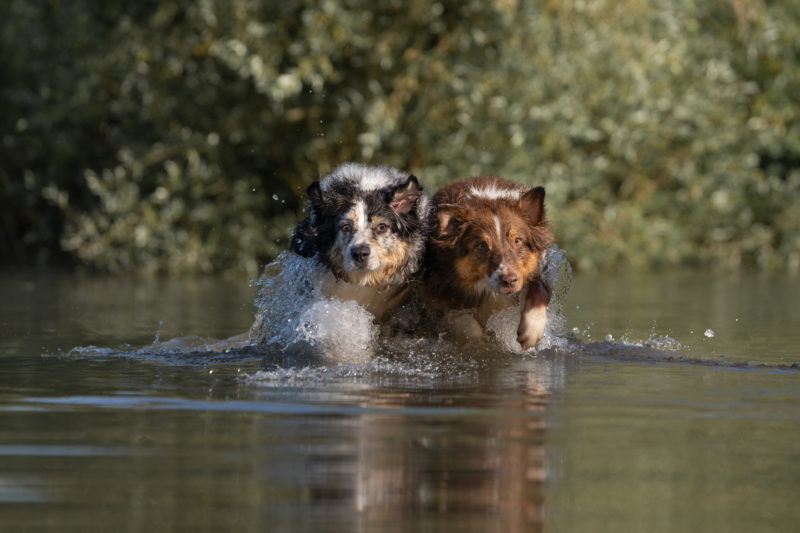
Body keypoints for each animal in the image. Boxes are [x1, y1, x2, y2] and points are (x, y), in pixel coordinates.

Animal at [422, 176, 552, 350]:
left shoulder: (534, 273)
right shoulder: (435, 291)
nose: (509, 281)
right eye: (481, 246)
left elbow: (540, 291)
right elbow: (464, 323)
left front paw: (531, 330)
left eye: (517, 241)